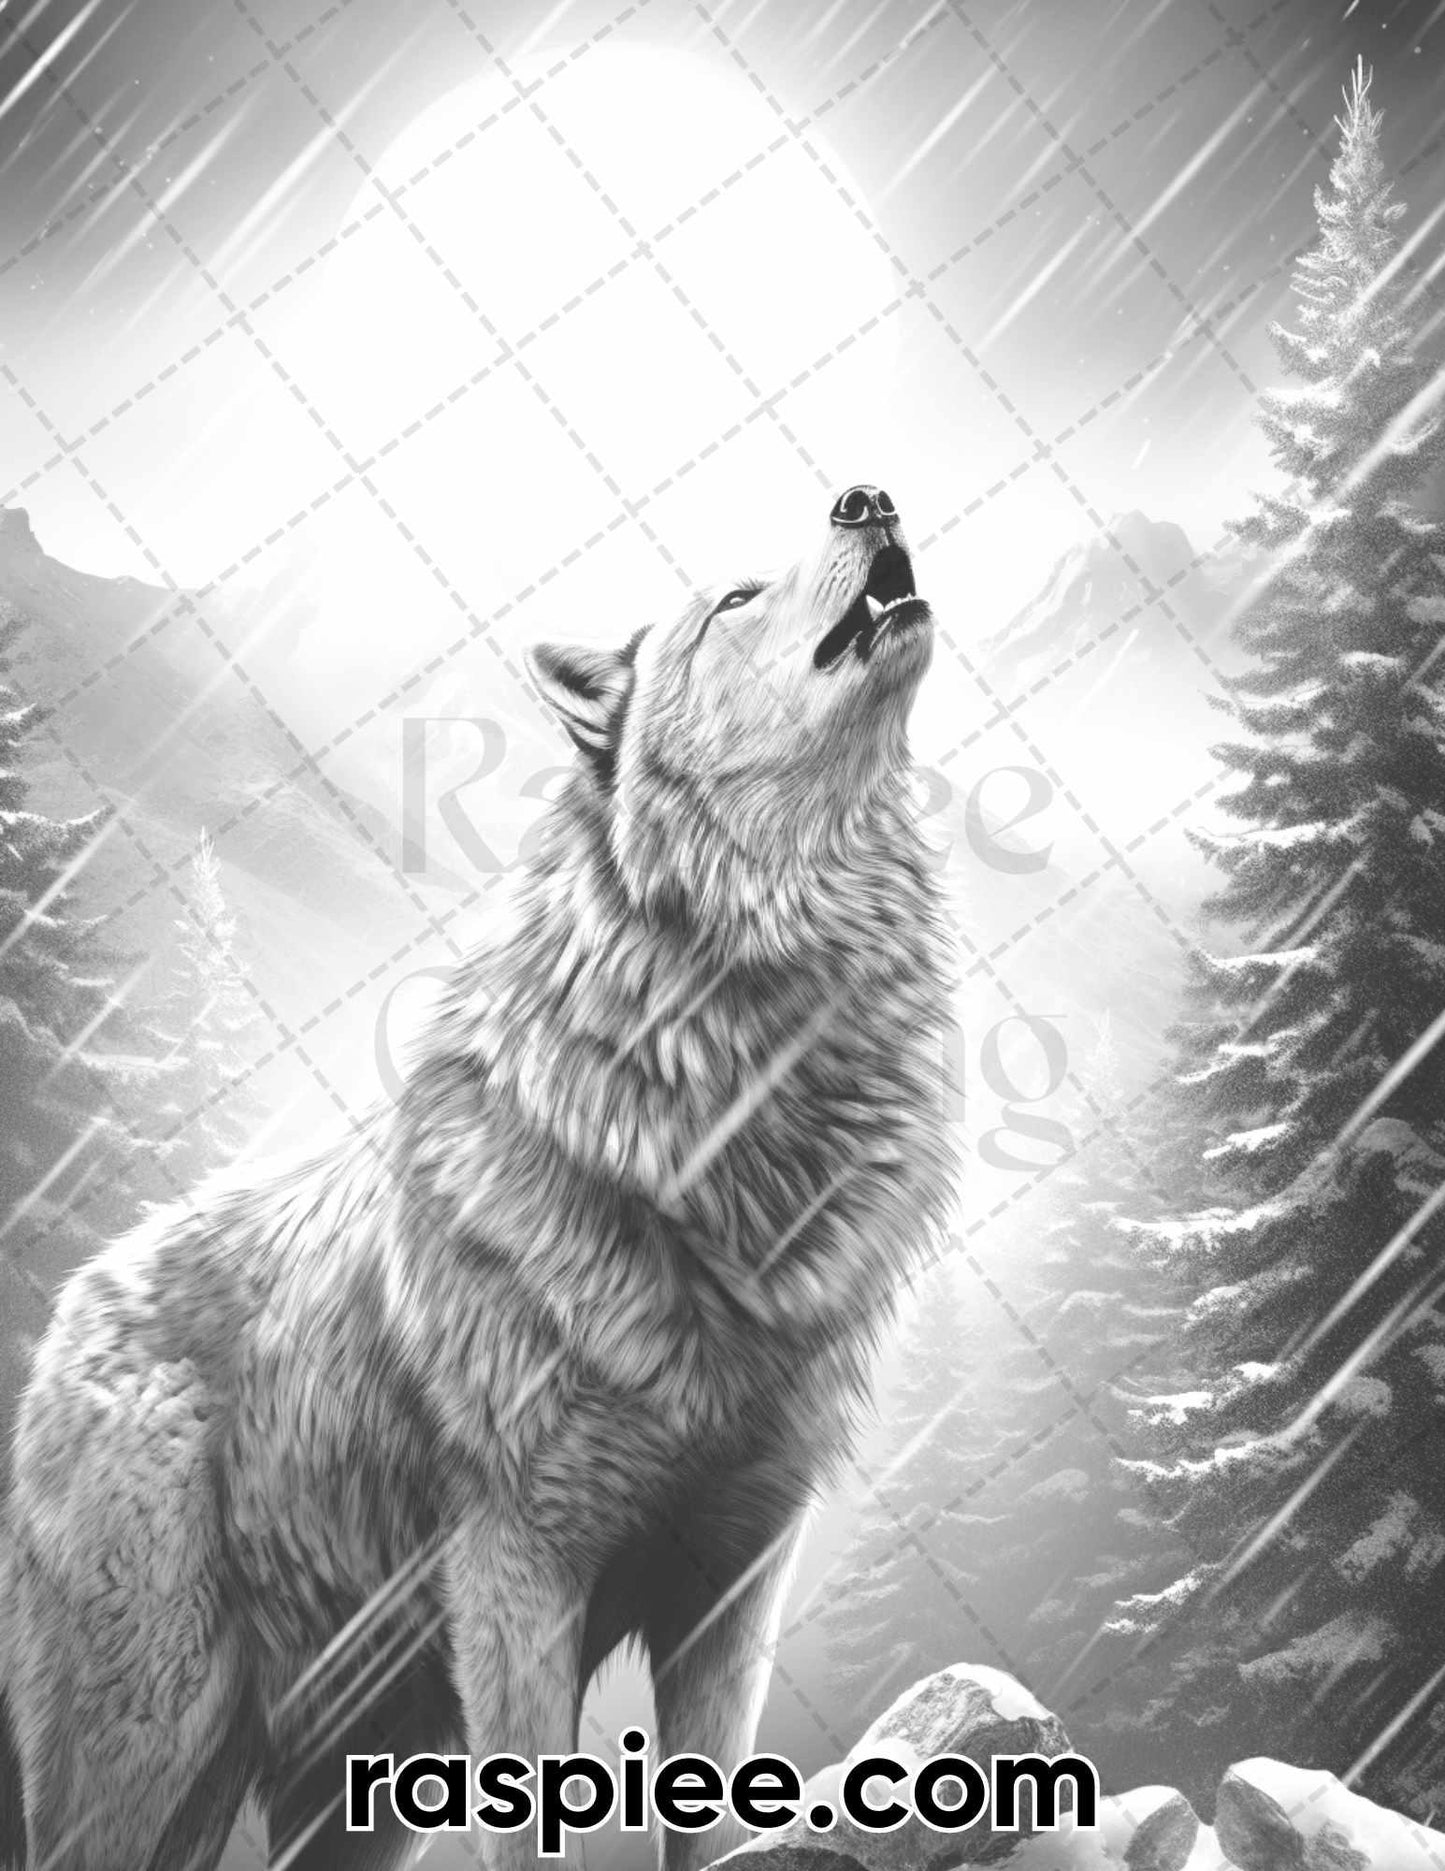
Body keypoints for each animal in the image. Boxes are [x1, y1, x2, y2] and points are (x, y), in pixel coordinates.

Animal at [0, 484, 958, 1871]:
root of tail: (73, 1300)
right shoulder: (517, 1565)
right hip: (152, 1741)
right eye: (733, 600)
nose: (867, 496)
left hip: (358, 1771)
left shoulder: (732, 1588)